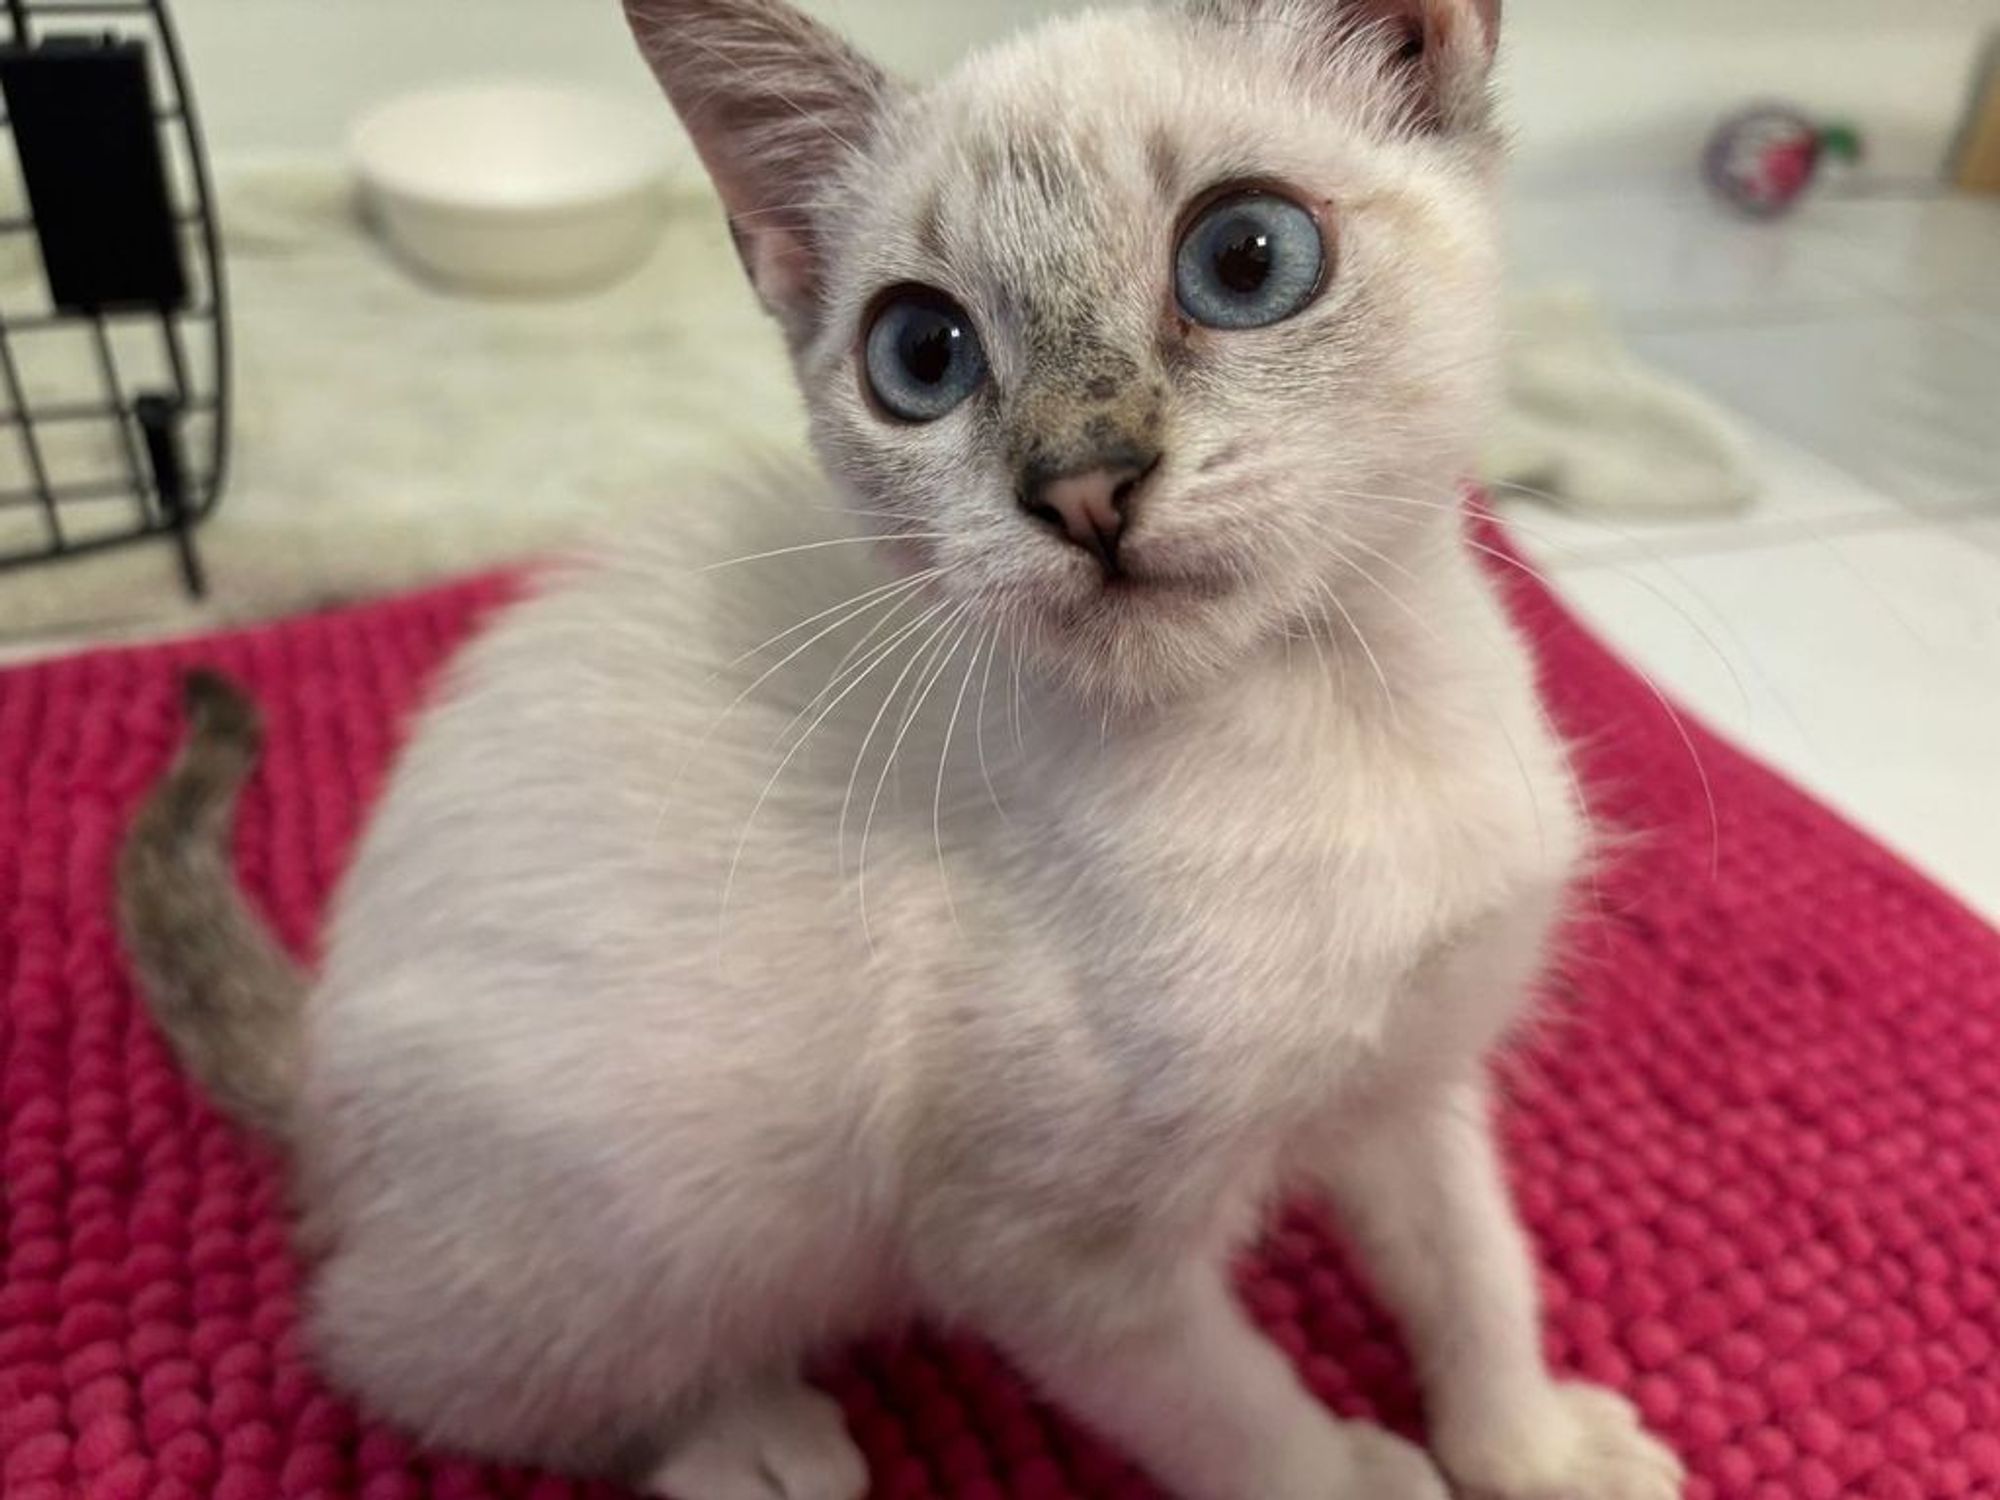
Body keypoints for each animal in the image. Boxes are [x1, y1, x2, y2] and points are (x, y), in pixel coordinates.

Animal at [121, 2, 1688, 1500]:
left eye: (1246, 260)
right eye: (920, 357)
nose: (1083, 481)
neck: (1322, 727)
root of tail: (318, 1061)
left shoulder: (1414, 1080)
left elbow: (1474, 1269)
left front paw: (1531, 1451)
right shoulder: (1042, 1256)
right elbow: (1246, 1424)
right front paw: (1368, 1471)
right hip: (657, 1215)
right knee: (405, 1359)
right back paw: (748, 1441)